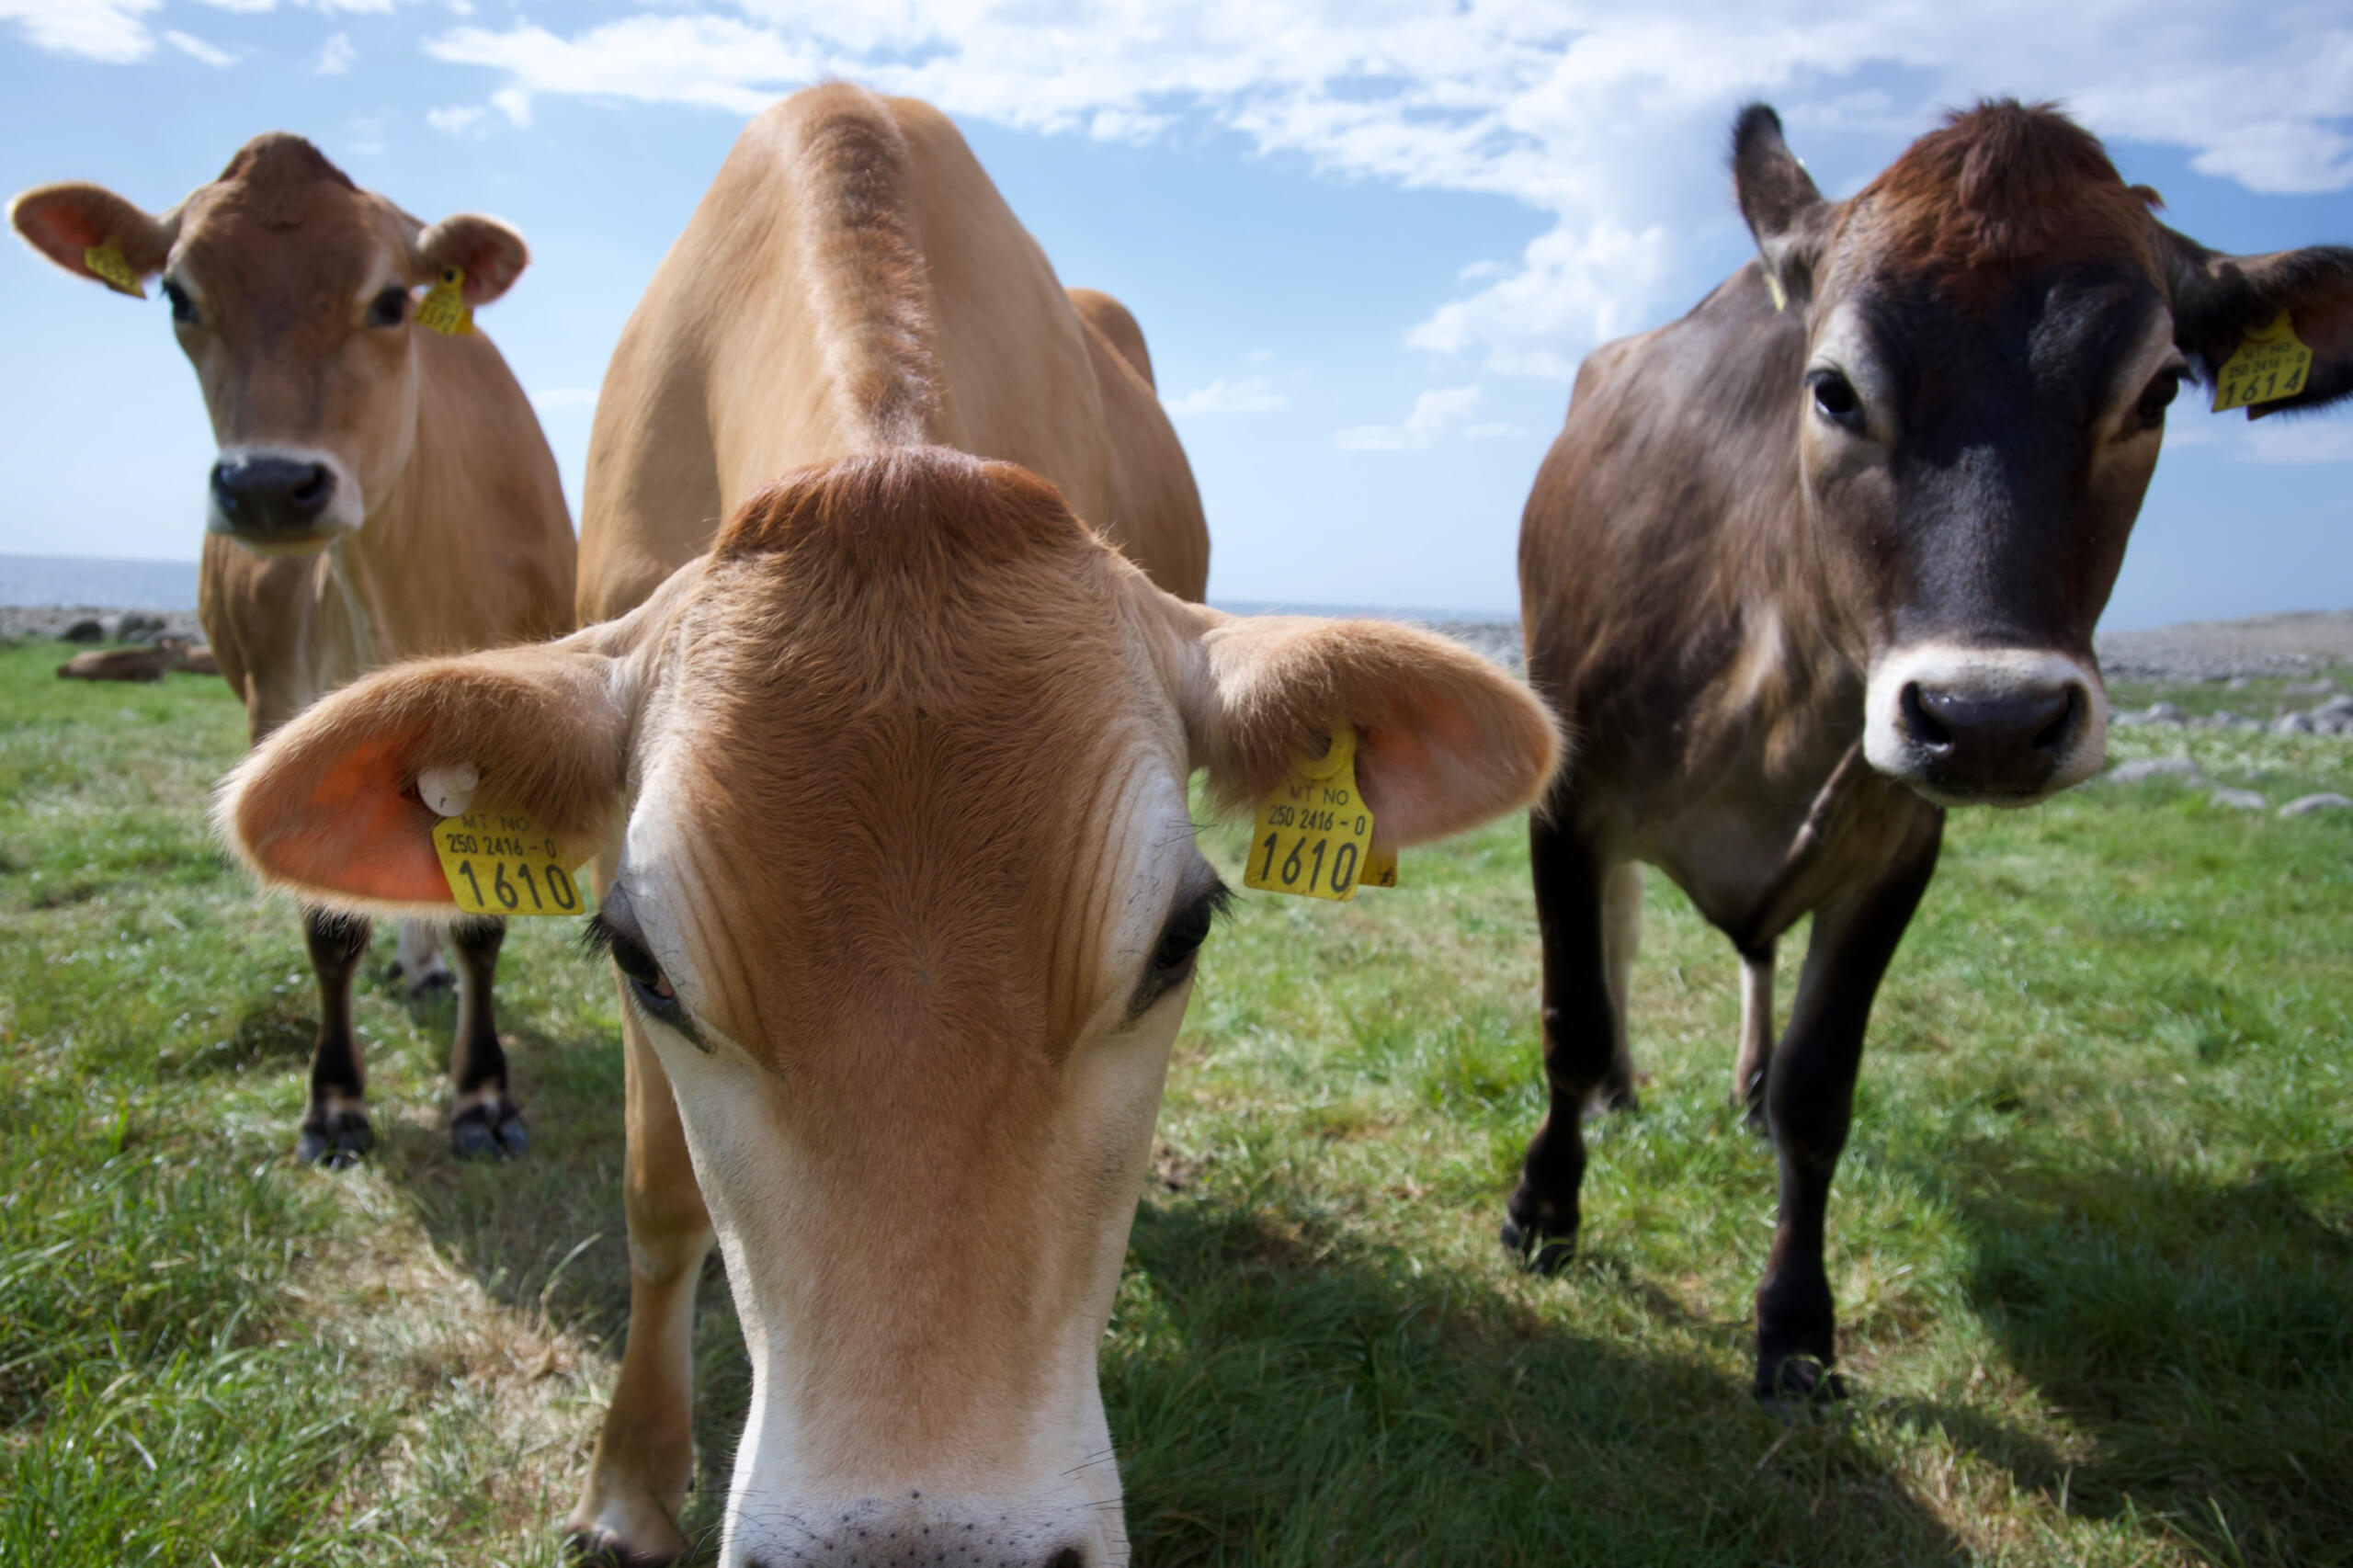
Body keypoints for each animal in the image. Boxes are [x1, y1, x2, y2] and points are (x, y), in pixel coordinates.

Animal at [11, 137, 576, 1165]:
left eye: (391, 300)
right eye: (179, 296)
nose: (271, 485)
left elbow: (480, 918)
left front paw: (481, 1096)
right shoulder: (280, 712)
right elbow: (329, 923)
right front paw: (336, 1102)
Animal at [1507, 99, 2353, 1410]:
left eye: (2159, 388)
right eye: (1831, 388)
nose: (1989, 716)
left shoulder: (1898, 842)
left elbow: (1819, 1092)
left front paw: (1796, 1323)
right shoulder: (1569, 794)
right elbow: (1571, 1014)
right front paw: (1545, 1208)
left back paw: (1739, 1091)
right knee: (1620, 935)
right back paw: (1624, 1090)